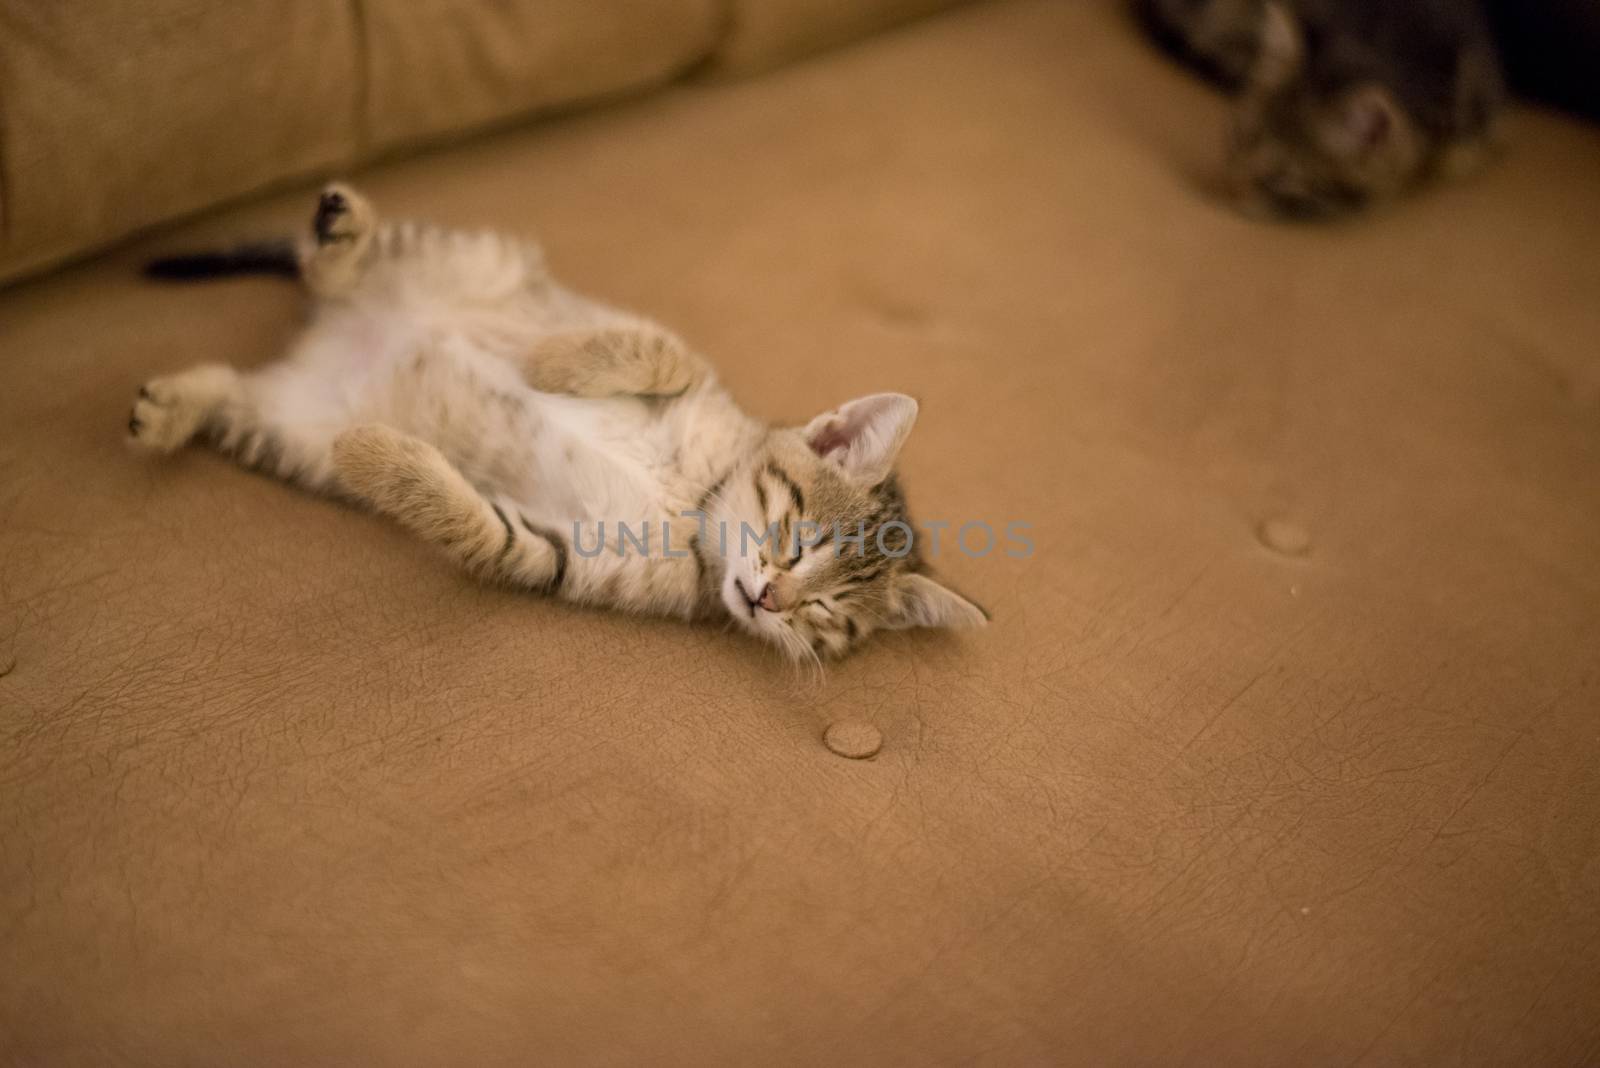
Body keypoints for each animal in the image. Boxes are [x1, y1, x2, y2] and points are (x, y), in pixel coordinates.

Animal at [128, 187, 985, 661]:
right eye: (799, 542)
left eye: (826, 616)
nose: (770, 601)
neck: (694, 506)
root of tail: (331, 333)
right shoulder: (692, 375)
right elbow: (661, 351)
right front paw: (547, 365)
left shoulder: (560, 552)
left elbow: (478, 526)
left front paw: (373, 455)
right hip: (465, 255)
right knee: (327, 266)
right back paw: (344, 236)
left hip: (282, 429)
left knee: (233, 388)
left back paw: (170, 409)